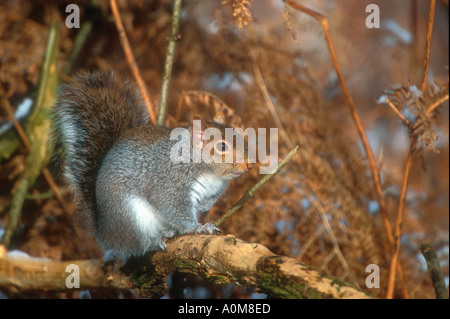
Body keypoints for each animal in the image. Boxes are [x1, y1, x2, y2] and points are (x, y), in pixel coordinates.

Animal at [52, 72, 253, 260]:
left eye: (239, 136)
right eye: (222, 147)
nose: (250, 164)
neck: (211, 175)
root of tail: (106, 233)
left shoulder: (213, 190)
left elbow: (207, 201)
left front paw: (204, 209)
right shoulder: (168, 184)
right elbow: (175, 209)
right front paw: (198, 227)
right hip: (130, 217)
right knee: (137, 246)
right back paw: (154, 242)